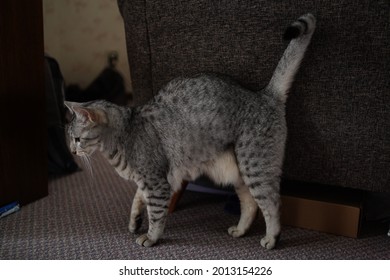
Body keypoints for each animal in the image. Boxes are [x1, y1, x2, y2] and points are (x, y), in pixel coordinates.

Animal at [65, 13, 316, 249]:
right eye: (70, 139)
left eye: (77, 139)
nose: (72, 151)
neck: (124, 134)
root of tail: (264, 94)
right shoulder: (153, 181)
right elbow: (137, 198)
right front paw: (134, 221)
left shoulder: (158, 183)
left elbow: (156, 214)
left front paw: (151, 237)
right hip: (238, 172)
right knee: (250, 202)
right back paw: (240, 230)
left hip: (255, 165)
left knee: (272, 203)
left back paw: (272, 238)